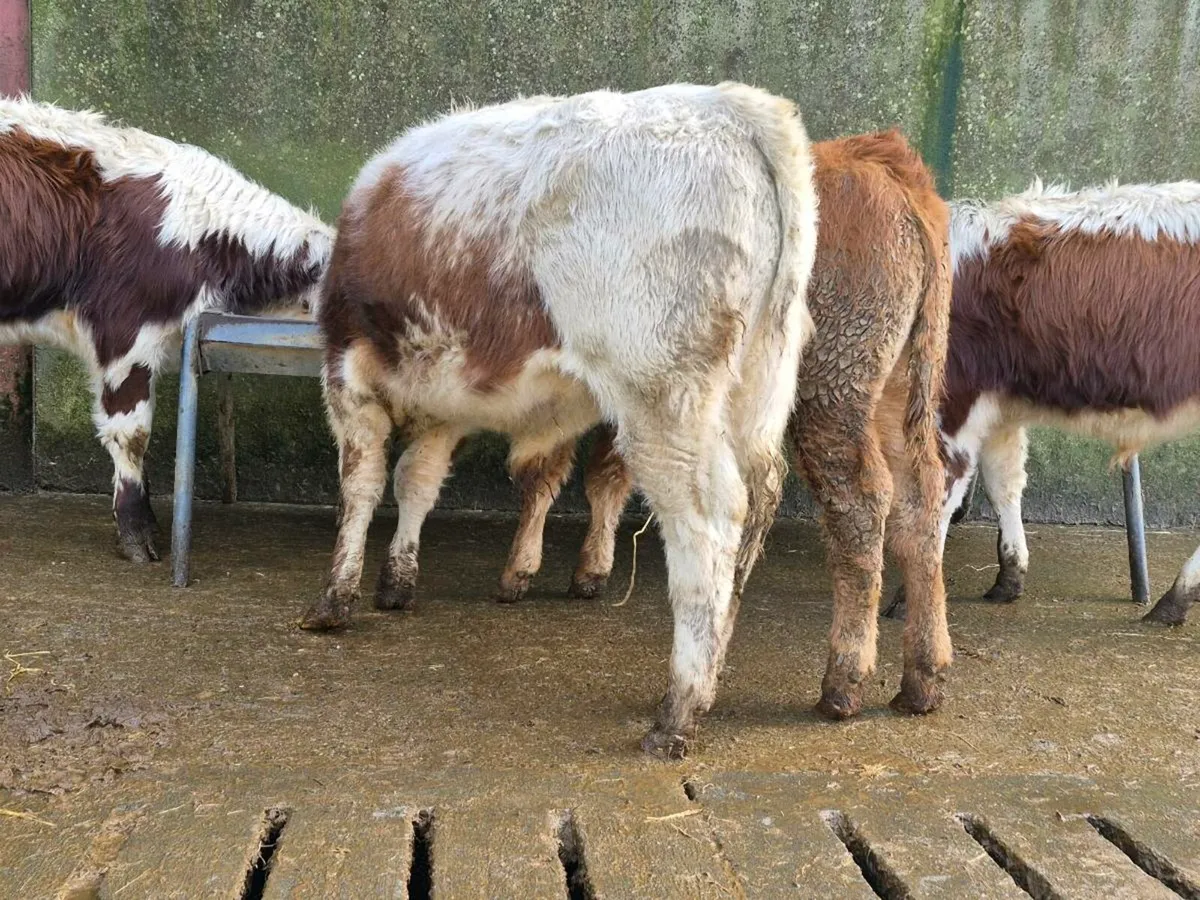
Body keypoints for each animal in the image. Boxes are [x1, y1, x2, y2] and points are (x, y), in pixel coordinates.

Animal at [297, 83, 820, 758]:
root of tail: (729, 104)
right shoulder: (444, 398)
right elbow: (416, 482)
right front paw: (397, 581)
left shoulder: (347, 377)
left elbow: (359, 487)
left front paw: (335, 598)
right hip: (757, 390)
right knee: (756, 506)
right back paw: (708, 685)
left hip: (663, 397)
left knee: (708, 522)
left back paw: (676, 711)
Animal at [494, 130, 956, 720]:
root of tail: (883, 165)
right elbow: (604, 475)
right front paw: (589, 568)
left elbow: (548, 471)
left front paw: (519, 571)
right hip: (898, 388)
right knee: (920, 498)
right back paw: (923, 678)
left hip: (833, 386)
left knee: (861, 501)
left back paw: (843, 682)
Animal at [906, 180, 1200, 626]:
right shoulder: (1001, 405)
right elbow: (1003, 482)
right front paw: (1009, 577)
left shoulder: (954, 397)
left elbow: (939, 488)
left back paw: (1174, 599)